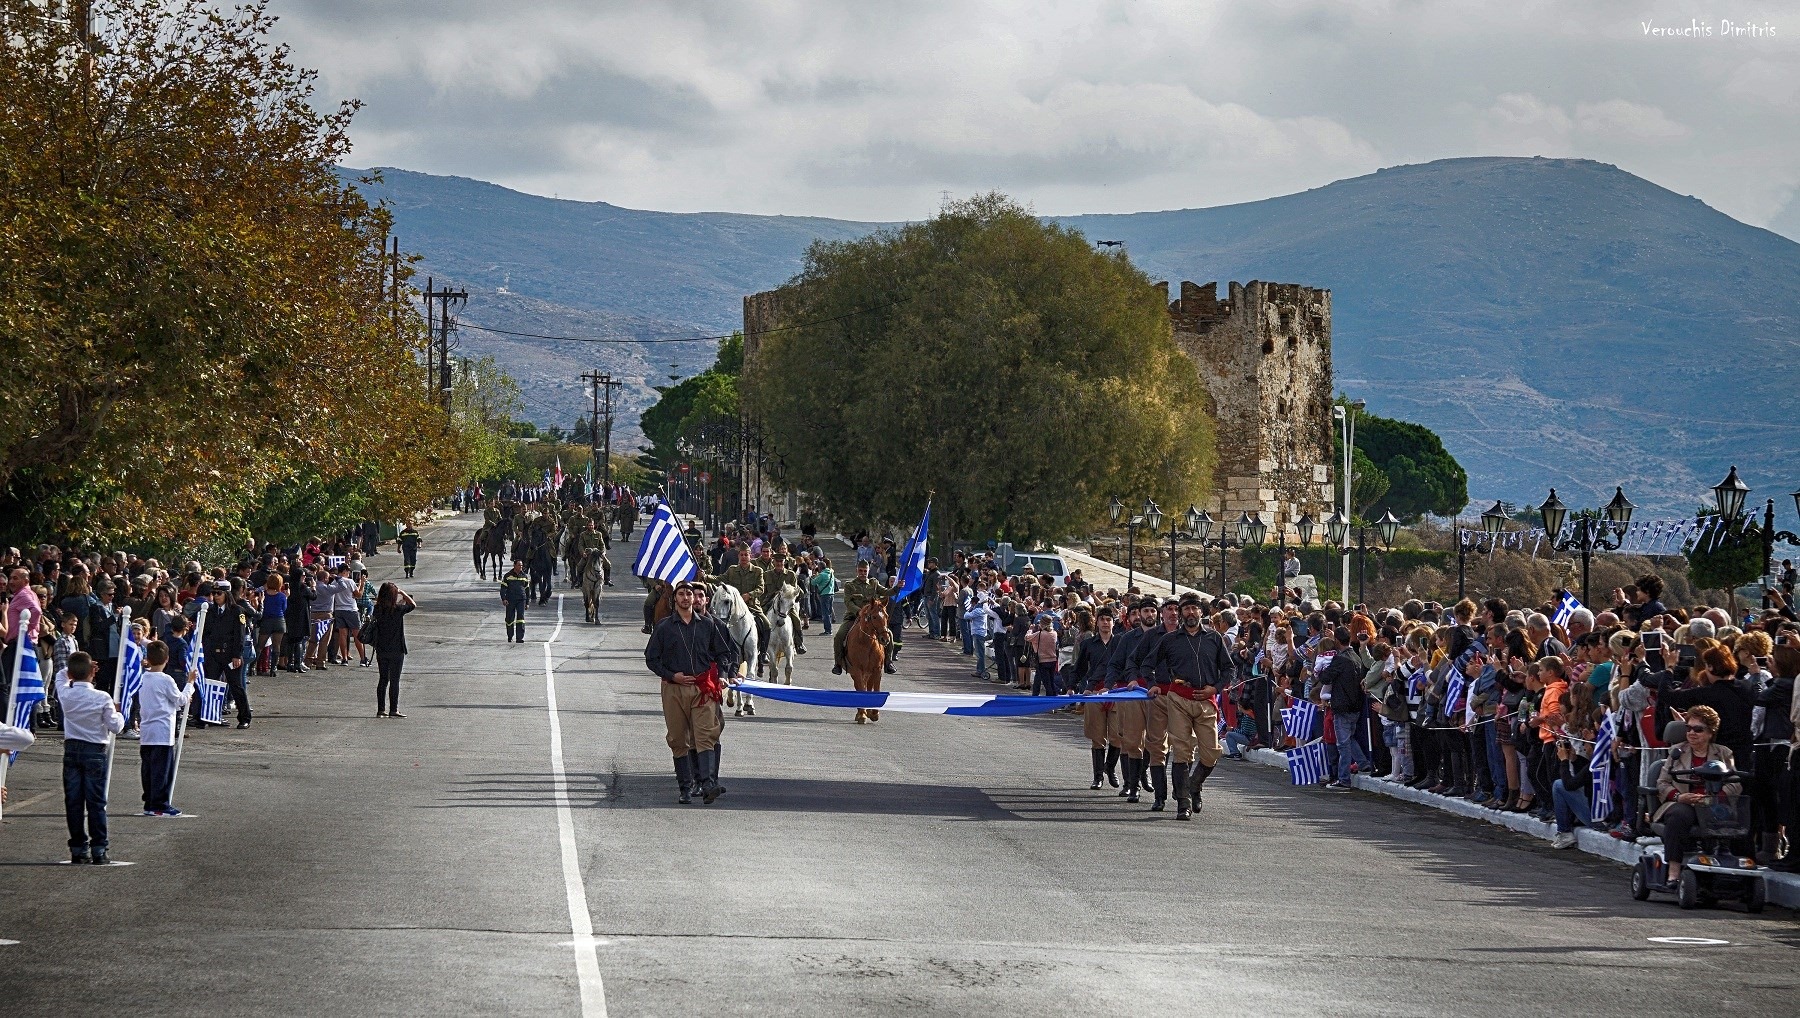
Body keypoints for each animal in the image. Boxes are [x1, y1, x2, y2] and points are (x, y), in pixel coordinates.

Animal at [705, 582, 756, 719]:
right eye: (714, 602)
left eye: (727, 601)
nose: (719, 623)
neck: (740, 629)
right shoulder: (735, 657)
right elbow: (735, 677)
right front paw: (738, 707)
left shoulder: (752, 656)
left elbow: (750, 675)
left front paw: (749, 705)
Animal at [849, 597, 892, 726]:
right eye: (874, 617)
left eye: (887, 616)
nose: (885, 639)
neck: (867, 643)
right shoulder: (857, 671)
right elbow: (861, 689)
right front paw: (862, 715)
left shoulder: (877, 670)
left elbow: (876, 689)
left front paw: (874, 713)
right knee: (860, 686)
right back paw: (861, 712)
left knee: (868, 686)